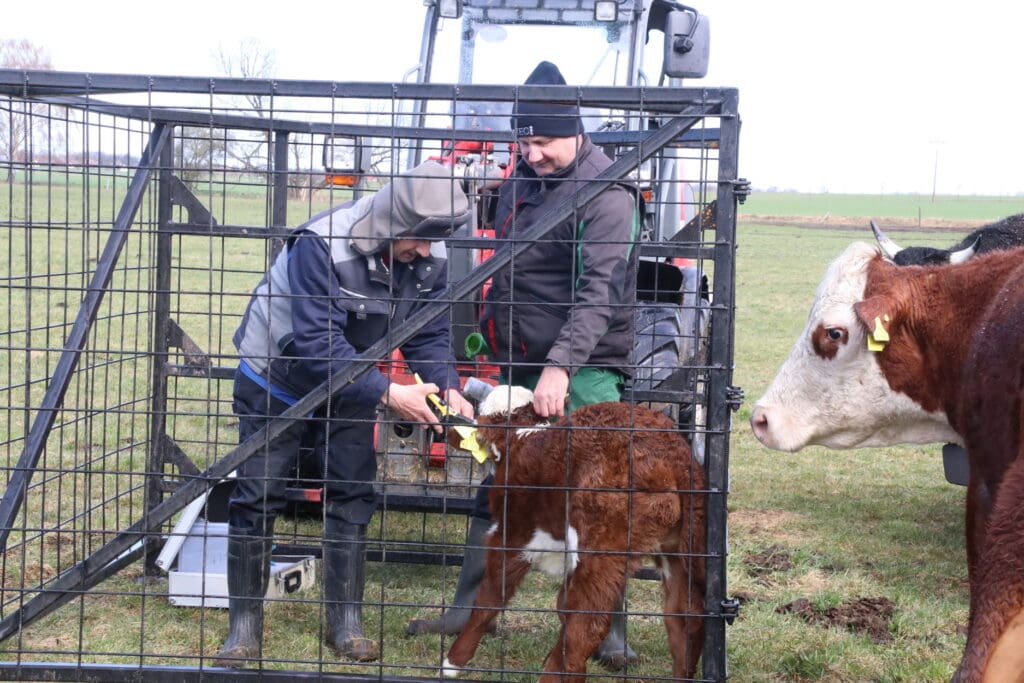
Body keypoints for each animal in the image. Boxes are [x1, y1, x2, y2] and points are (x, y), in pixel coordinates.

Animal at [444, 387, 708, 679]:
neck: (522, 436)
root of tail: (672, 455)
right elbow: (562, 603)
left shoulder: (513, 534)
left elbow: (489, 597)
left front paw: (452, 663)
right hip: (684, 545)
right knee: (686, 615)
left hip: (603, 547)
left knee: (587, 625)